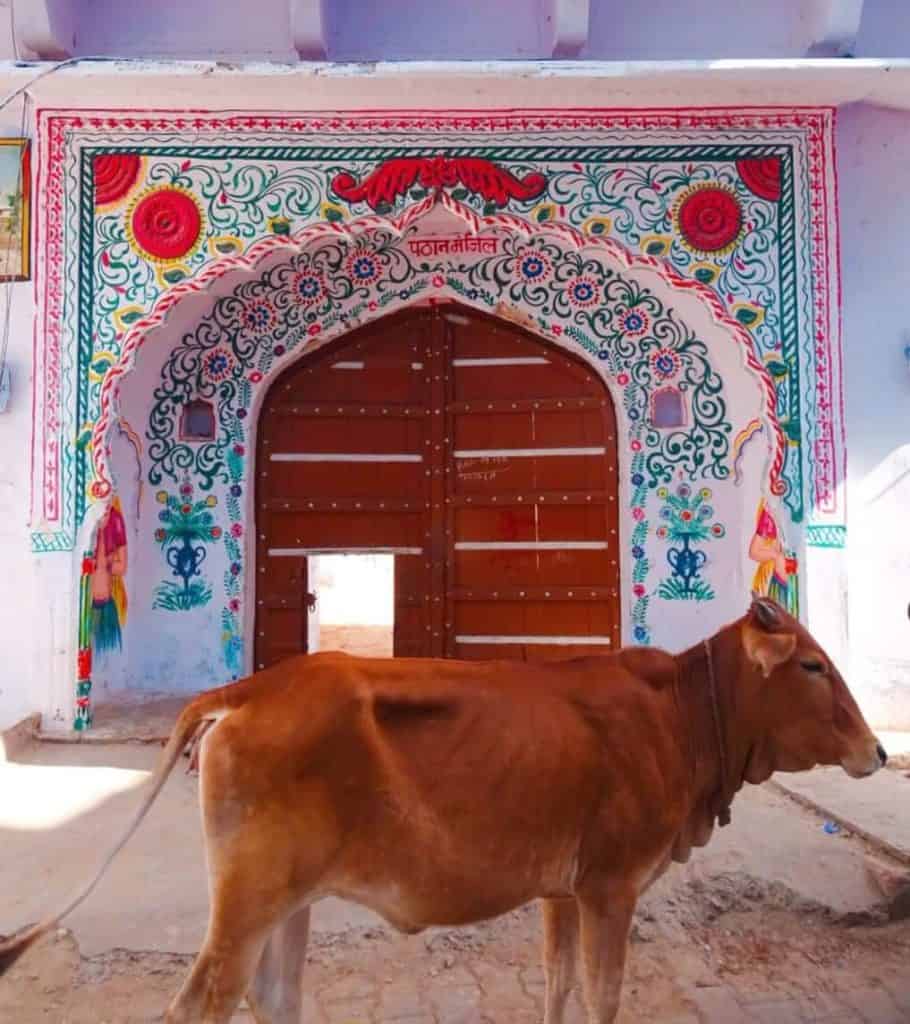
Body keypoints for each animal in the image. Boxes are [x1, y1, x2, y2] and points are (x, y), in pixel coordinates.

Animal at [0, 598, 880, 1024]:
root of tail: (249, 689)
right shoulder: (610, 888)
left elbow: (558, 988)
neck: (682, 716)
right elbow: (603, 996)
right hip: (247, 902)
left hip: (289, 899)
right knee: (202, 1003)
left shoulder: (562, 892)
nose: (876, 751)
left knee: (274, 996)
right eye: (810, 664)